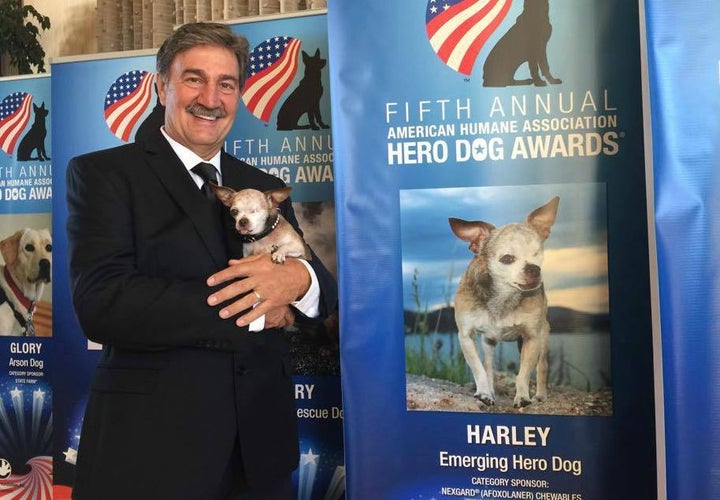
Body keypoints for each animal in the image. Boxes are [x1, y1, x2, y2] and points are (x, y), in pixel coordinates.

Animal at [450, 197, 564, 408]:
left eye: (538, 254)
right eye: (507, 259)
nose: (534, 269)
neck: (503, 296)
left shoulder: (532, 338)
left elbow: (523, 373)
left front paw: (523, 396)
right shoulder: (466, 336)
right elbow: (479, 369)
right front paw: (484, 393)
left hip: (543, 336)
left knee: (542, 366)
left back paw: (541, 394)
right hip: (488, 342)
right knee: (488, 365)